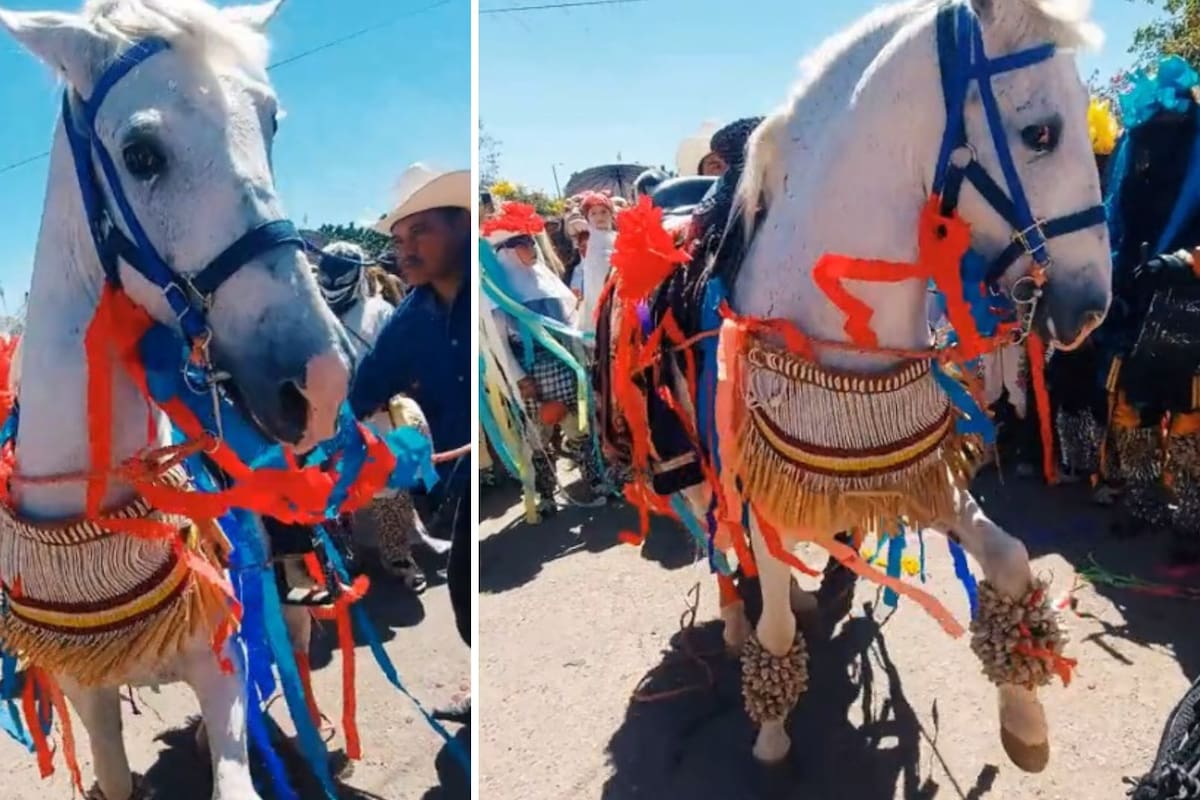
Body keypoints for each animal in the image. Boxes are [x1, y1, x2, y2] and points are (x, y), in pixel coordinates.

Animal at [0, 1, 355, 798]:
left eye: (271, 121)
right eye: (141, 154)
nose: (321, 381)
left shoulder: (222, 668)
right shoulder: (87, 694)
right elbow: (113, 773)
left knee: (297, 637)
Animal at [602, 0, 1111, 774]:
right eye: (1042, 133)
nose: (1091, 308)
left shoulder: (916, 473)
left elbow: (1009, 558)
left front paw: (1024, 717)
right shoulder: (757, 486)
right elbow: (775, 631)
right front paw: (772, 731)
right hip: (682, 464)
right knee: (717, 540)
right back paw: (734, 618)